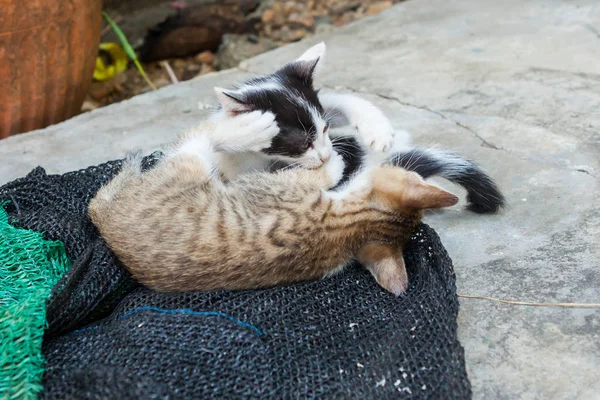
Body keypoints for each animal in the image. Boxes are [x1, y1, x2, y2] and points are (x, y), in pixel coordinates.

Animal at [89, 123, 458, 296]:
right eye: (411, 177)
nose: (410, 168)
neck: (343, 226)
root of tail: (104, 220)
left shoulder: (271, 185)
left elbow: (326, 172)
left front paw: (334, 160)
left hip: (186, 168)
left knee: (195, 137)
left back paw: (250, 128)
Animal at [204, 41, 504, 212]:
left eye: (325, 130)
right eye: (303, 143)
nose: (326, 155)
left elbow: (338, 101)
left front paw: (377, 128)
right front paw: (247, 130)